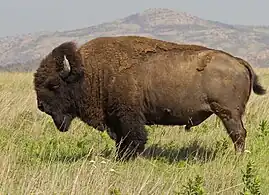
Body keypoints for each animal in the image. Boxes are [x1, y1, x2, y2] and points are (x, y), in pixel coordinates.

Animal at [34, 35, 266, 160]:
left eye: (53, 84)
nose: (41, 106)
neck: (91, 72)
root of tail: (237, 61)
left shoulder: (128, 117)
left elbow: (134, 139)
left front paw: (127, 158)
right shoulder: (115, 120)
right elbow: (120, 141)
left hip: (228, 114)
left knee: (238, 135)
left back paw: (238, 158)